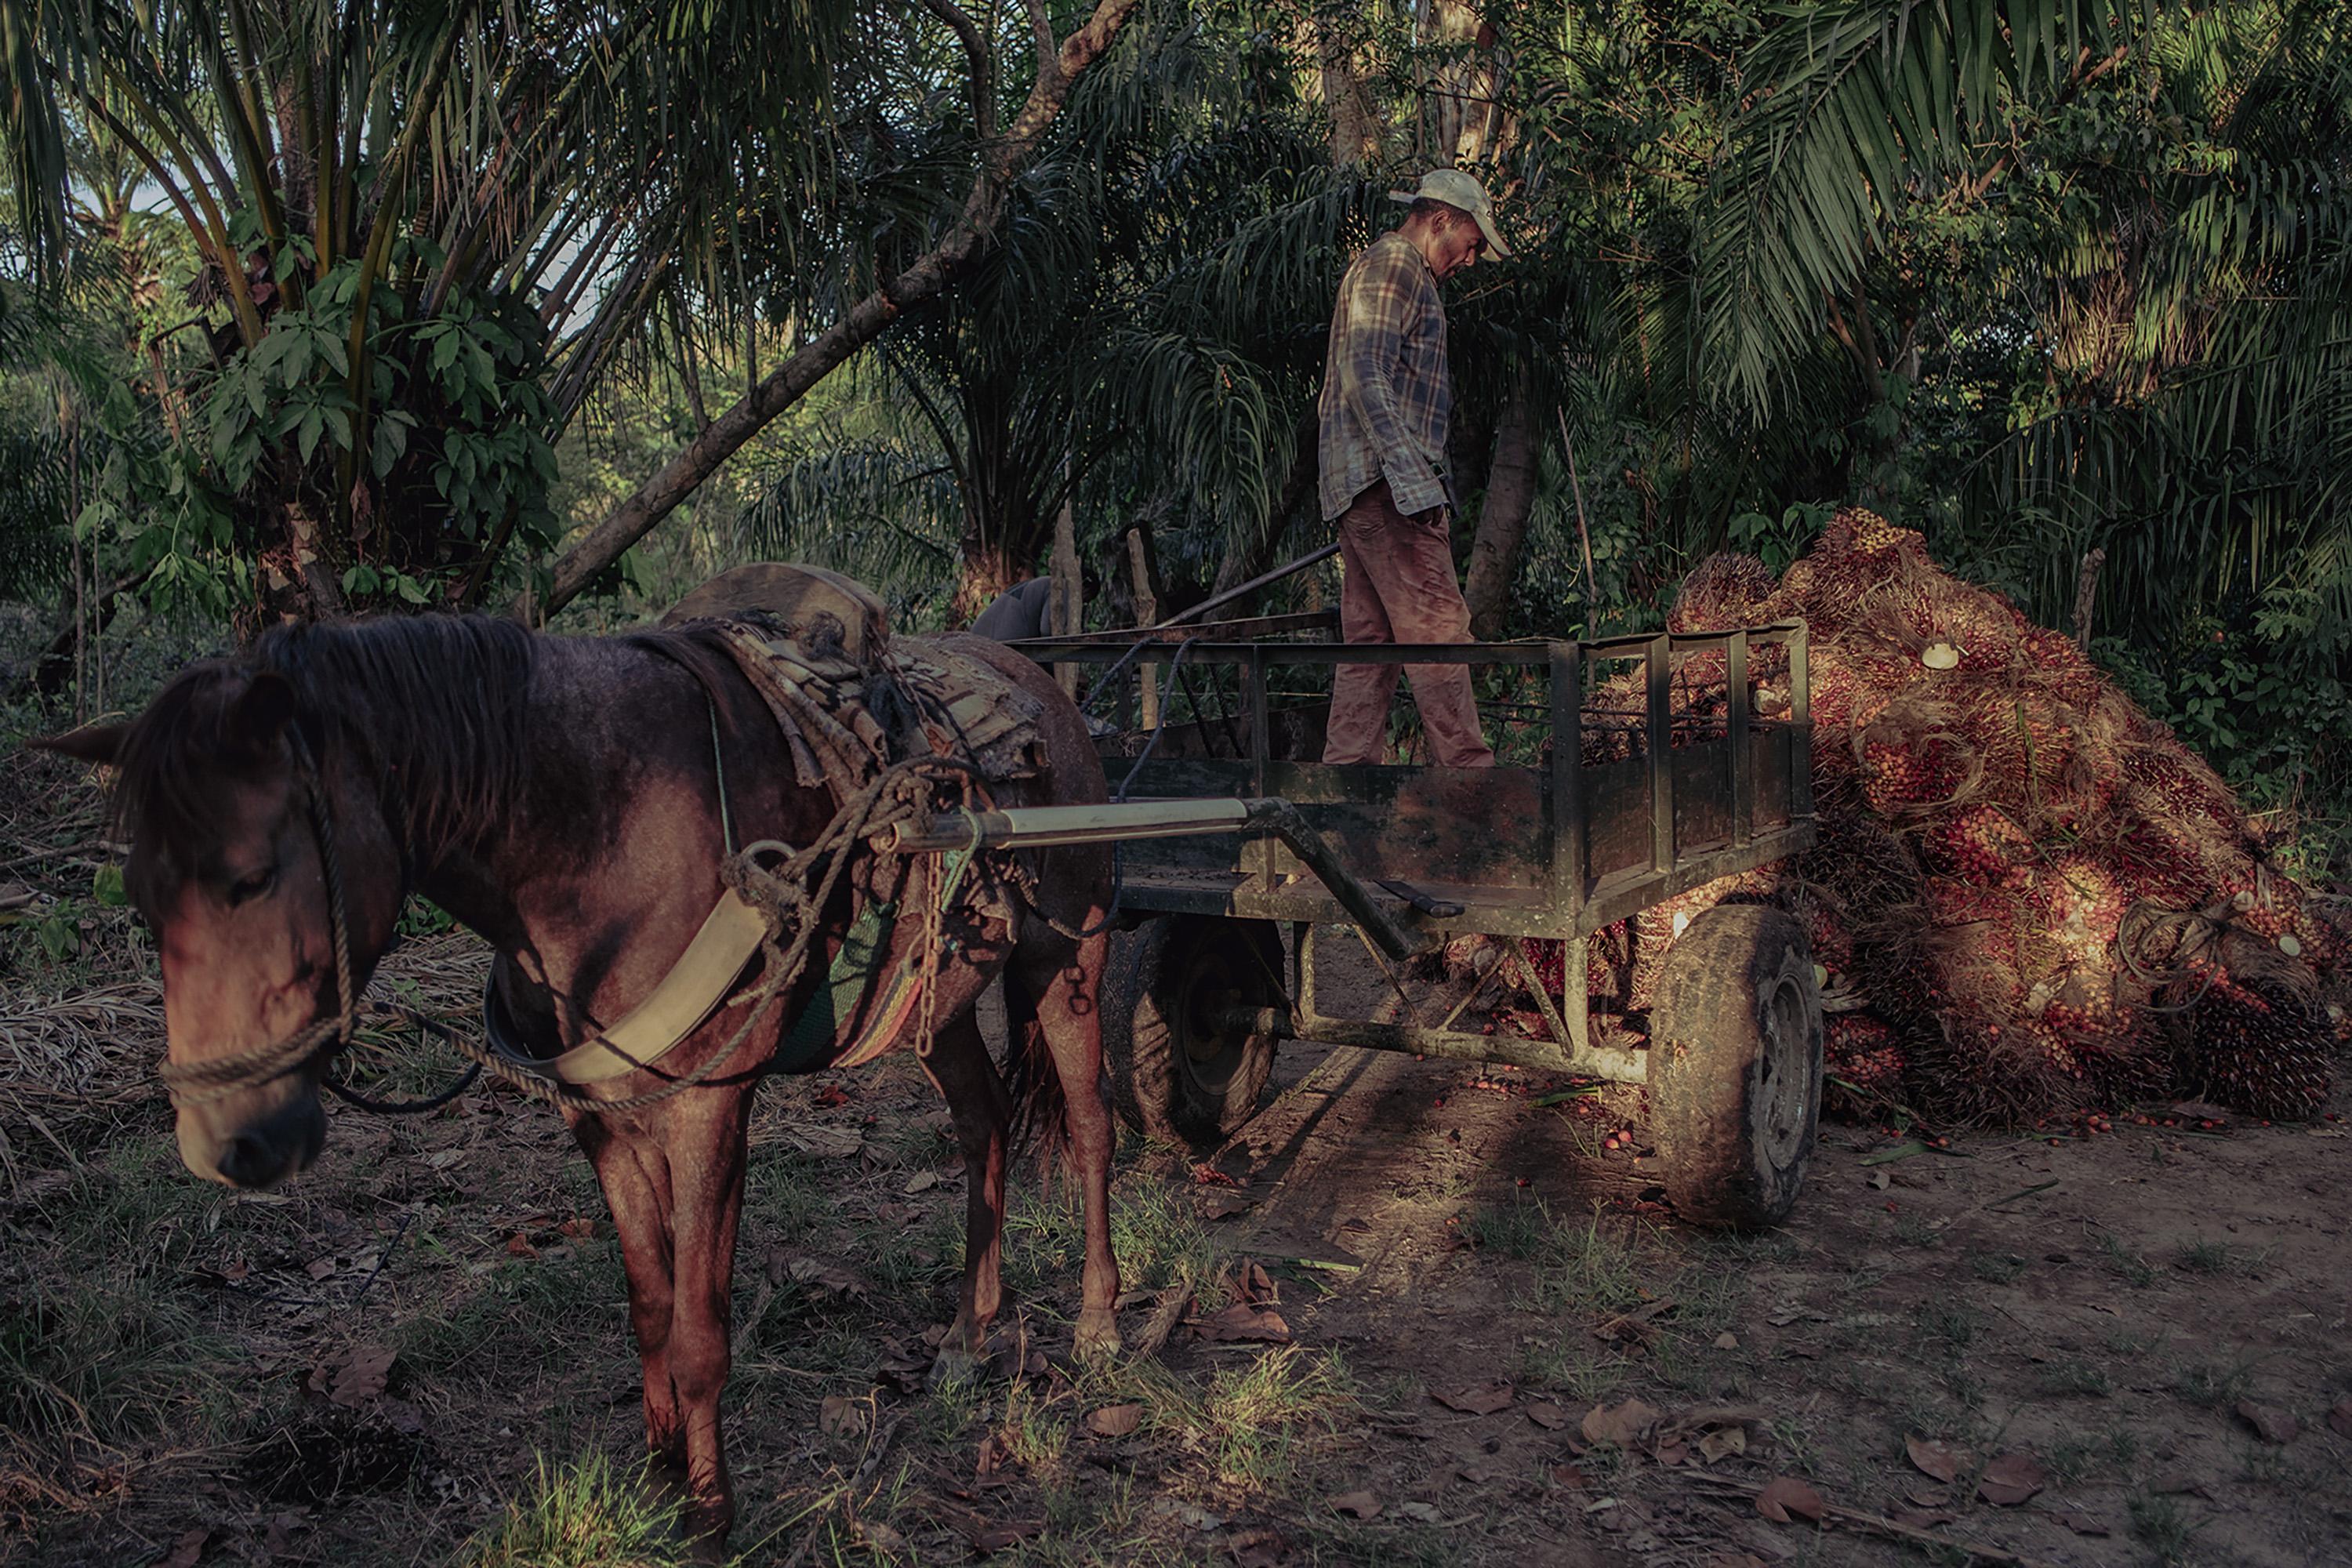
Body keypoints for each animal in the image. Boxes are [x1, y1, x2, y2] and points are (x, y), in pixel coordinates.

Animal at [41, 611, 1124, 1542]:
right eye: (141, 896)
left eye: (253, 875)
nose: (226, 1143)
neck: (605, 829)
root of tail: (1048, 688)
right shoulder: (600, 1117)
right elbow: (648, 1305)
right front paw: (658, 1474)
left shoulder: (708, 1110)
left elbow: (698, 1331)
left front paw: (710, 1518)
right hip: (933, 997)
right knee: (984, 1122)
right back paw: (968, 1336)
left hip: (1066, 962)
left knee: (1092, 1128)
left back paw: (1101, 1321)